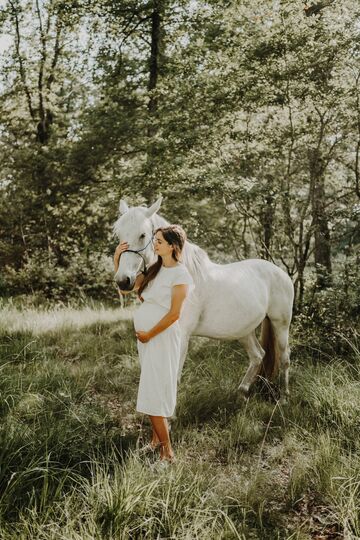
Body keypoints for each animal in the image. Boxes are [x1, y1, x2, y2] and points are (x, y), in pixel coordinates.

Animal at [114, 197, 294, 396]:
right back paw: (242, 391)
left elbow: (174, 378)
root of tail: (280, 272)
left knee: (285, 357)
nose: (123, 281)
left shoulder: (182, 336)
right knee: (258, 356)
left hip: (281, 324)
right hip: (244, 331)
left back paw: (285, 395)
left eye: (143, 235)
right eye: (119, 235)